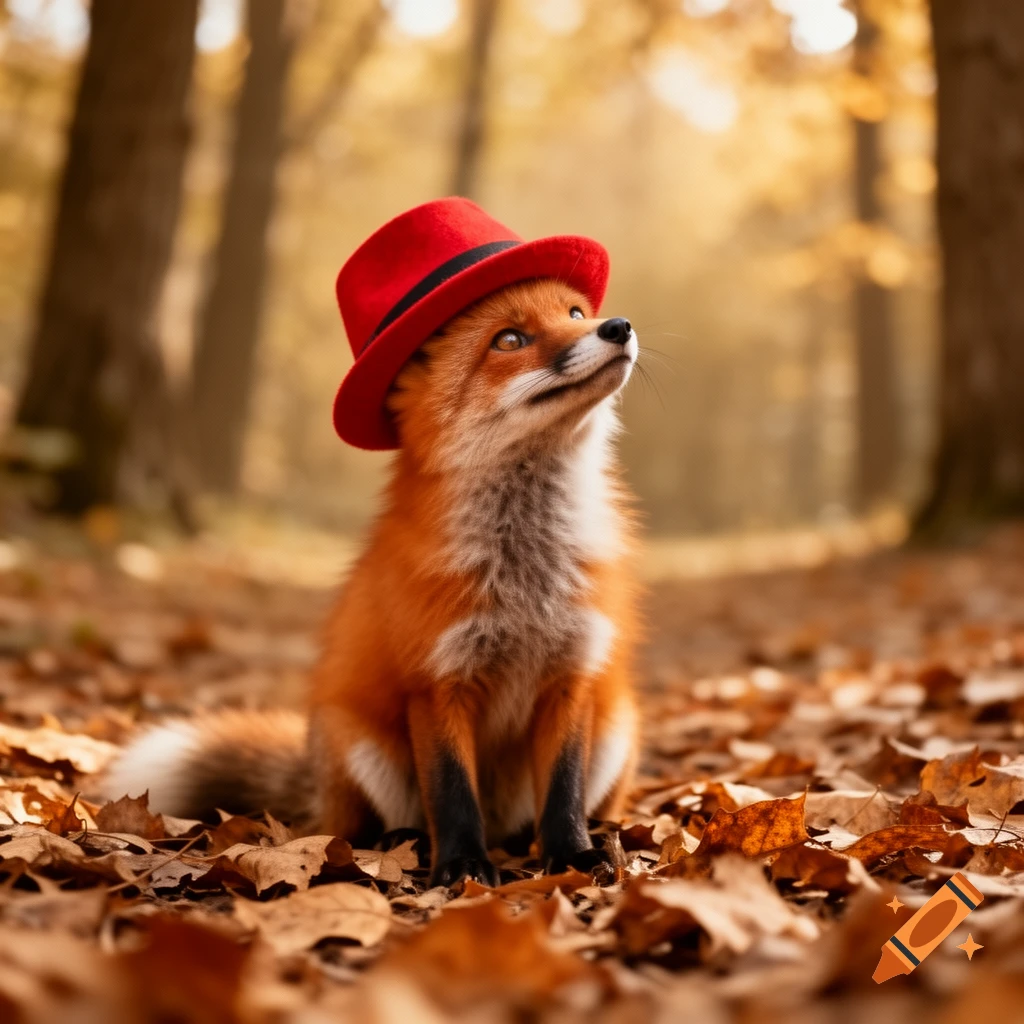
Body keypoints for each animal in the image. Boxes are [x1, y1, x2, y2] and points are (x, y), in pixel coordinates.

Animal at [104, 277, 641, 887]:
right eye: (509, 339)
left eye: (575, 313)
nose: (617, 326)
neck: (526, 578)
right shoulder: (435, 681)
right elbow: (452, 792)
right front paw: (461, 865)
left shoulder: (571, 674)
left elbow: (563, 791)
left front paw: (571, 855)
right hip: (361, 743)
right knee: (376, 825)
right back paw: (403, 845)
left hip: (617, 725)